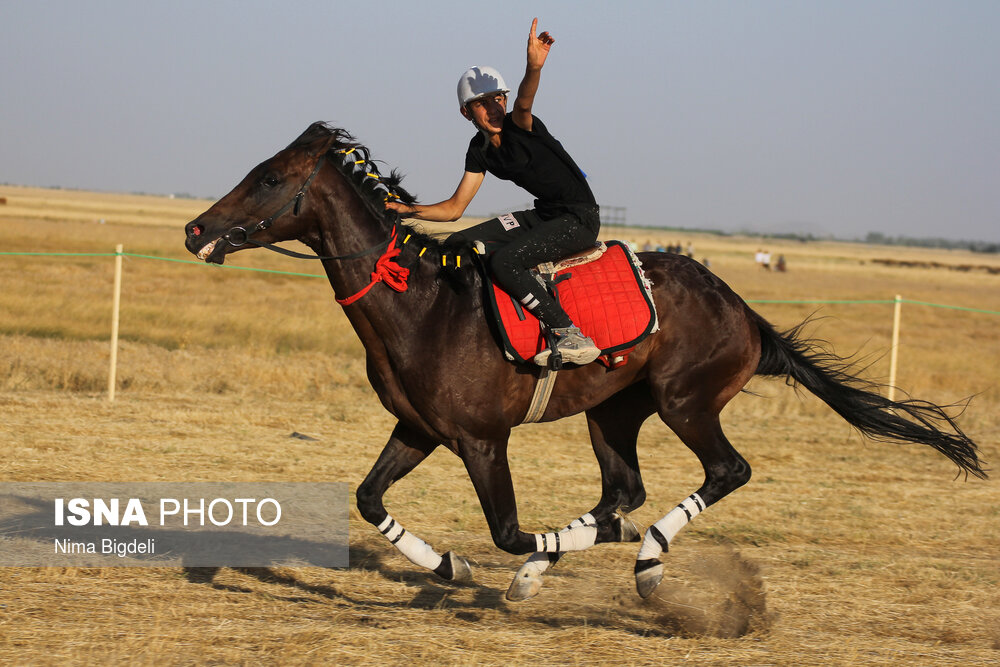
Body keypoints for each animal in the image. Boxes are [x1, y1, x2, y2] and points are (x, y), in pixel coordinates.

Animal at [186, 122, 984, 604]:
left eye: (266, 179)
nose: (196, 229)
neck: (421, 306)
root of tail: (742, 308)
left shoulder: (482, 440)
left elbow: (508, 529)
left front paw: (534, 558)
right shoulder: (419, 430)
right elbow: (369, 499)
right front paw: (454, 566)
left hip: (685, 402)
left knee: (724, 472)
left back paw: (645, 558)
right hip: (614, 411)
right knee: (622, 488)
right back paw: (575, 557)